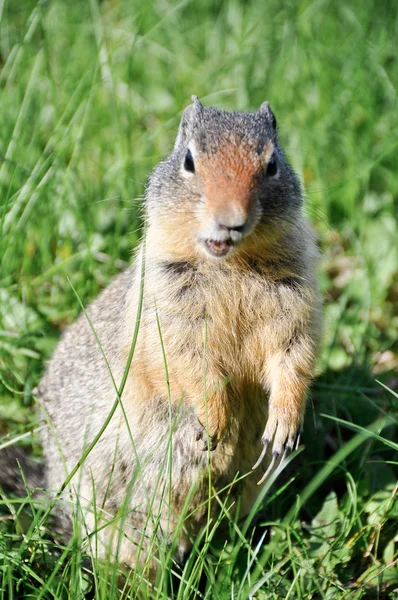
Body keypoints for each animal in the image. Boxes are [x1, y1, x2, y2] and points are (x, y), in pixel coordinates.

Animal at [34, 98, 322, 576]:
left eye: (272, 165)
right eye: (189, 160)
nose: (231, 222)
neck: (231, 265)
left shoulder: (297, 301)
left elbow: (294, 356)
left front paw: (282, 426)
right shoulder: (167, 309)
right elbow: (187, 362)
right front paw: (216, 423)